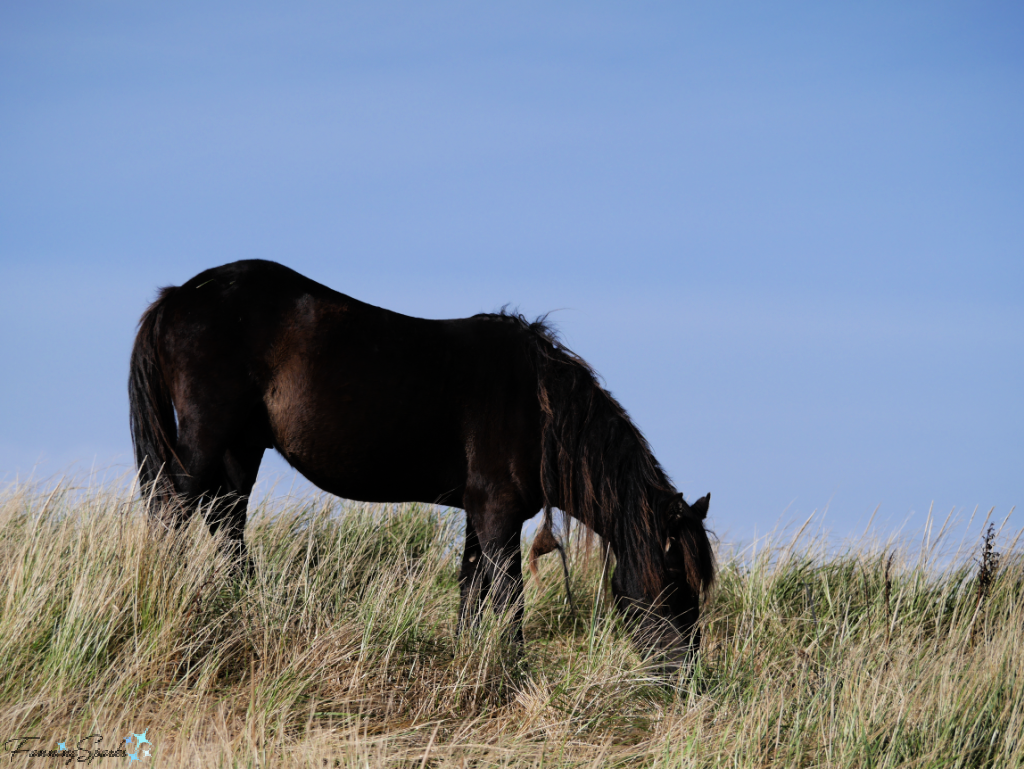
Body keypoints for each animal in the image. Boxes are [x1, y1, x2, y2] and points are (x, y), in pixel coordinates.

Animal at [128, 262, 716, 659]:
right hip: (205, 438)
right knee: (170, 511)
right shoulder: (498, 514)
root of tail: (179, 296)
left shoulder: (482, 515)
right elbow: (508, 598)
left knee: (226, 523)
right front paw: (513, 672)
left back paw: (244, 607)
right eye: (674, 581)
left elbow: (472, 591)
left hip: (241, 447)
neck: (538, 405)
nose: (684, 678)